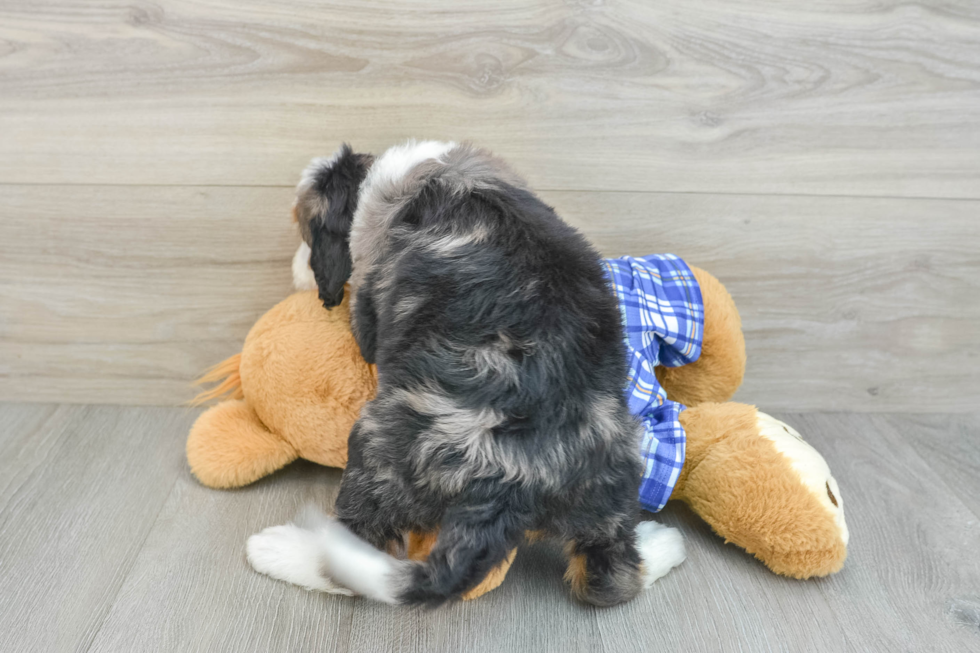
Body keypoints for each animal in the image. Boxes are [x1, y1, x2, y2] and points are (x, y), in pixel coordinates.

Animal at [249, 141, 684, 608]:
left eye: (307, 234)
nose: (299, 275)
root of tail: (512, 484)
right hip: (613, 482)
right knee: (612, 580)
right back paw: (663, 545)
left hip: (376, 452)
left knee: (353, 557)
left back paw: (277, 550)